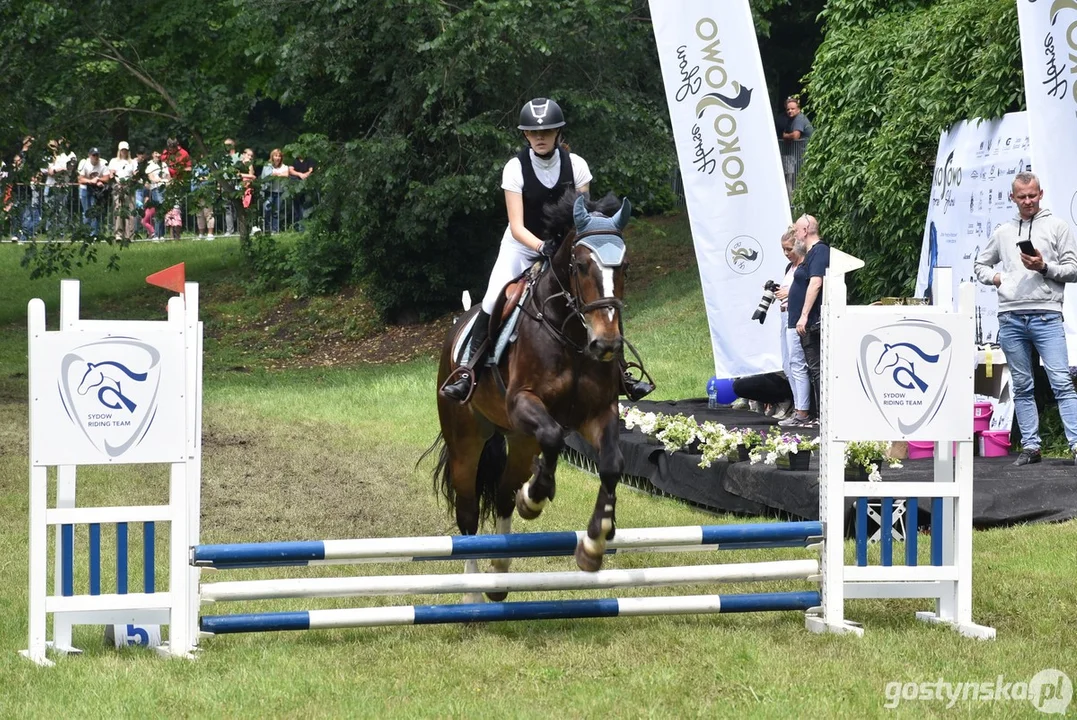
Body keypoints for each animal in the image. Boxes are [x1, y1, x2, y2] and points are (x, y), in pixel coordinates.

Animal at [426, 190, 628, 602]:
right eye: (581, 265)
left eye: (625, 267)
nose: (607, 344)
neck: (571, 336)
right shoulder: (523, 402)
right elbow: (552, 436)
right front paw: (534, 497)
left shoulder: (598, 412)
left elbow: (611, 464)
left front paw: (594, 542)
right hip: (466, 440)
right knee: (468, 512)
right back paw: (472, 593)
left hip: (519, 440)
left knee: (503, 494)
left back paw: (500, 574)